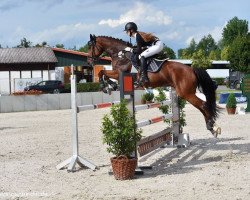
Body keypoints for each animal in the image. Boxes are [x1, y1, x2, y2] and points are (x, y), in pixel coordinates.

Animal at [87, 34, 221, 138]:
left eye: (90, 46)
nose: (89, 61)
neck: (120, 55)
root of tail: (191, 69)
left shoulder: (120, 72)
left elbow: (102, 72)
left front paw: (105, 86)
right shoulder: (117, 73)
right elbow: (104, 74)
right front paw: (110, 86)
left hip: (186, 93)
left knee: (203, 105)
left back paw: (211, 127)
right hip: (184, 92)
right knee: (203, 105)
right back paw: (211, 126)